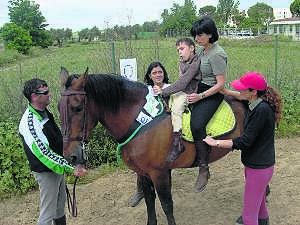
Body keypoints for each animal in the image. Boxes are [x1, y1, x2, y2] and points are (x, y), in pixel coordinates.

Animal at [59, 67, 246, 225]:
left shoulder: (159, 173)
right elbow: (149, 200)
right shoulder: (143, 172)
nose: (70, 155)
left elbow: (166, 204)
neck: (141, 122)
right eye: (58, 109)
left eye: (77, 108)